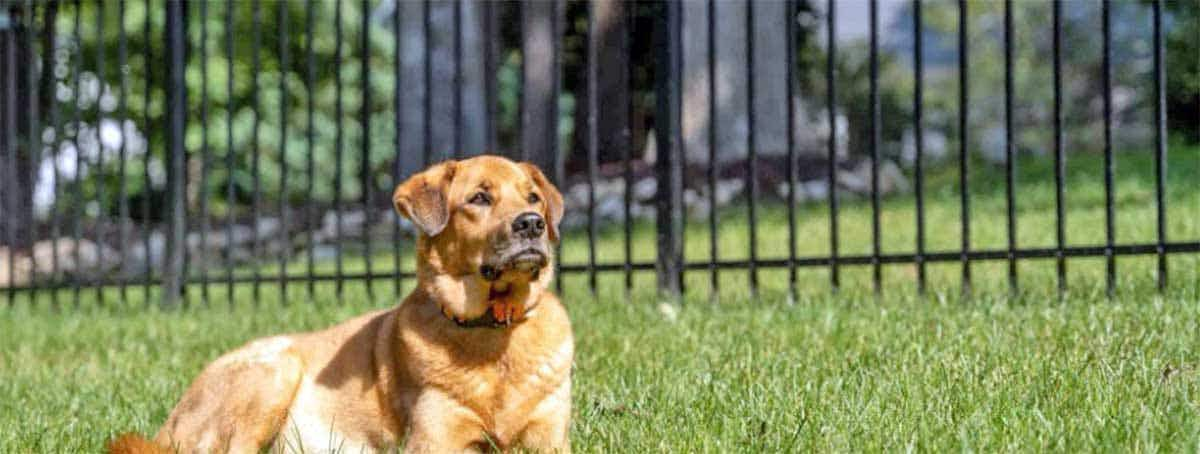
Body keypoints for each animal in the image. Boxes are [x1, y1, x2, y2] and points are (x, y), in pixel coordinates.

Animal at [112, 153, 576, 451]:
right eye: (479, 198)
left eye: (532, 197)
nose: (532, 224)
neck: (494, 331)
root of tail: (169, 426)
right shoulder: (434, 440)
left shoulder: (551, 439)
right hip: (274, 371)